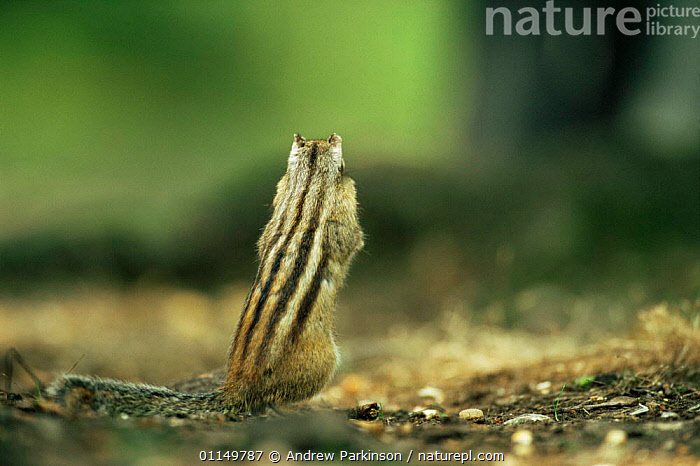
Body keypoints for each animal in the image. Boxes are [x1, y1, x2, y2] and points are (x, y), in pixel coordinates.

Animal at [47, 133, 364, 417]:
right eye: (343, 166)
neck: (307, 189)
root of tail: (236, 388)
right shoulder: (343, 226)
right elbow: (352, 242)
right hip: (325, 362)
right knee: (269, 400)